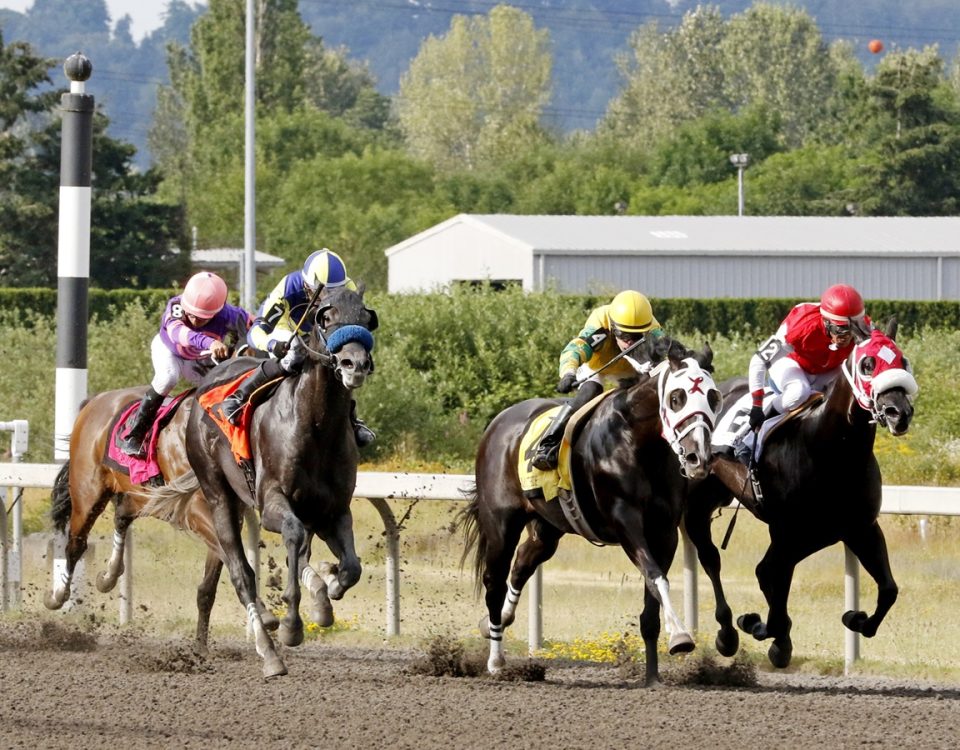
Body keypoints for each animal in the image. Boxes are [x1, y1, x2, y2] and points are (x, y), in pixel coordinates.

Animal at [458, 340, 720, 688]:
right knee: (494, 580)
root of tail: (497, 424)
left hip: (547, 527)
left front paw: (652, 675)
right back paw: (496, 660)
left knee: (523, 563)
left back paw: (500, 620)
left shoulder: (664, 530)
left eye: (714, 397)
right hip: (501, 522)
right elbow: (656, 576)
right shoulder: (626, 522)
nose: (697, 458)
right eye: (677, 398)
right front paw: (680, 636)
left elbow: (653, 595)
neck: (638, 440)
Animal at [688, 324, 920, 668]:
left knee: (760, 569)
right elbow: (774, 589)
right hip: (697, 501)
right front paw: (764, 630)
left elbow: (889, 589)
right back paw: (728, 633)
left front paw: (855, 618)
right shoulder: (789, 531)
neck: (832, 450)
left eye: (902, 361)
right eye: (867, 364)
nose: (897, 412)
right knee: (710, 557)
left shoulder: (857, 528)